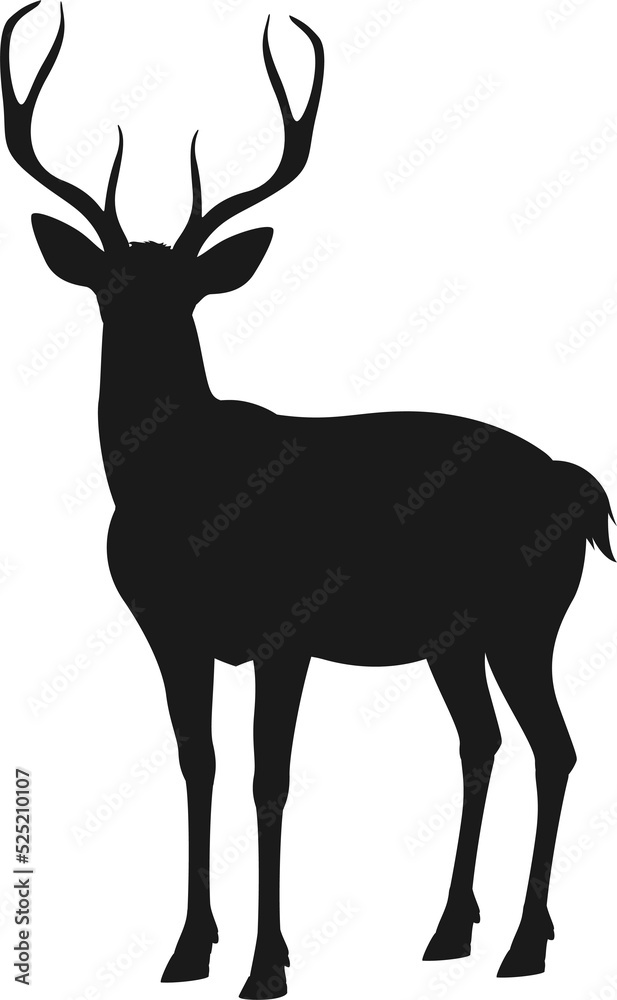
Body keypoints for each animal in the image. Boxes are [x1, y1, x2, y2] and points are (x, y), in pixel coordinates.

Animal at [3, 2, 615, 996]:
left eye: (187, 293)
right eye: (107, 286)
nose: (139, 336)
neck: (184, 499)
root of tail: (579, 483)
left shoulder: (284, 630)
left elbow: (269, 781)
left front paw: (267, 966)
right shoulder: (170, 634)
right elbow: (198, 765)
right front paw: (187, 950)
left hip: (528, 615)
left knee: (553, 747)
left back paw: (522, 945)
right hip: (457, 639)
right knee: (481, 741)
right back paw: (452, 930)